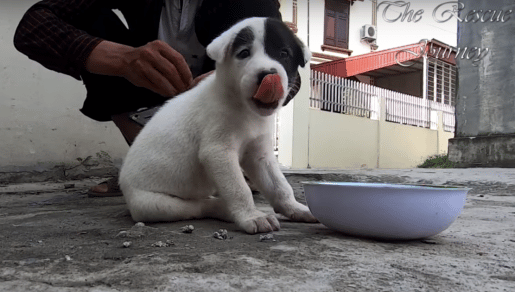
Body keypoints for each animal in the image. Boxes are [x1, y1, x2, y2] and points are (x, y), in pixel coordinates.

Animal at [120, 16, 318, 235]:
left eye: (284, 53)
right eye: (244, 53)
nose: (267, 74)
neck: (244, 109)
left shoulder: (259, 155)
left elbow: (280, 186)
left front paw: (295, 208)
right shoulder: (218, 152)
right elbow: (239, 188)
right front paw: (252, 216)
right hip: (155, 204)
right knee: (199, 206)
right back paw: (225, 209)